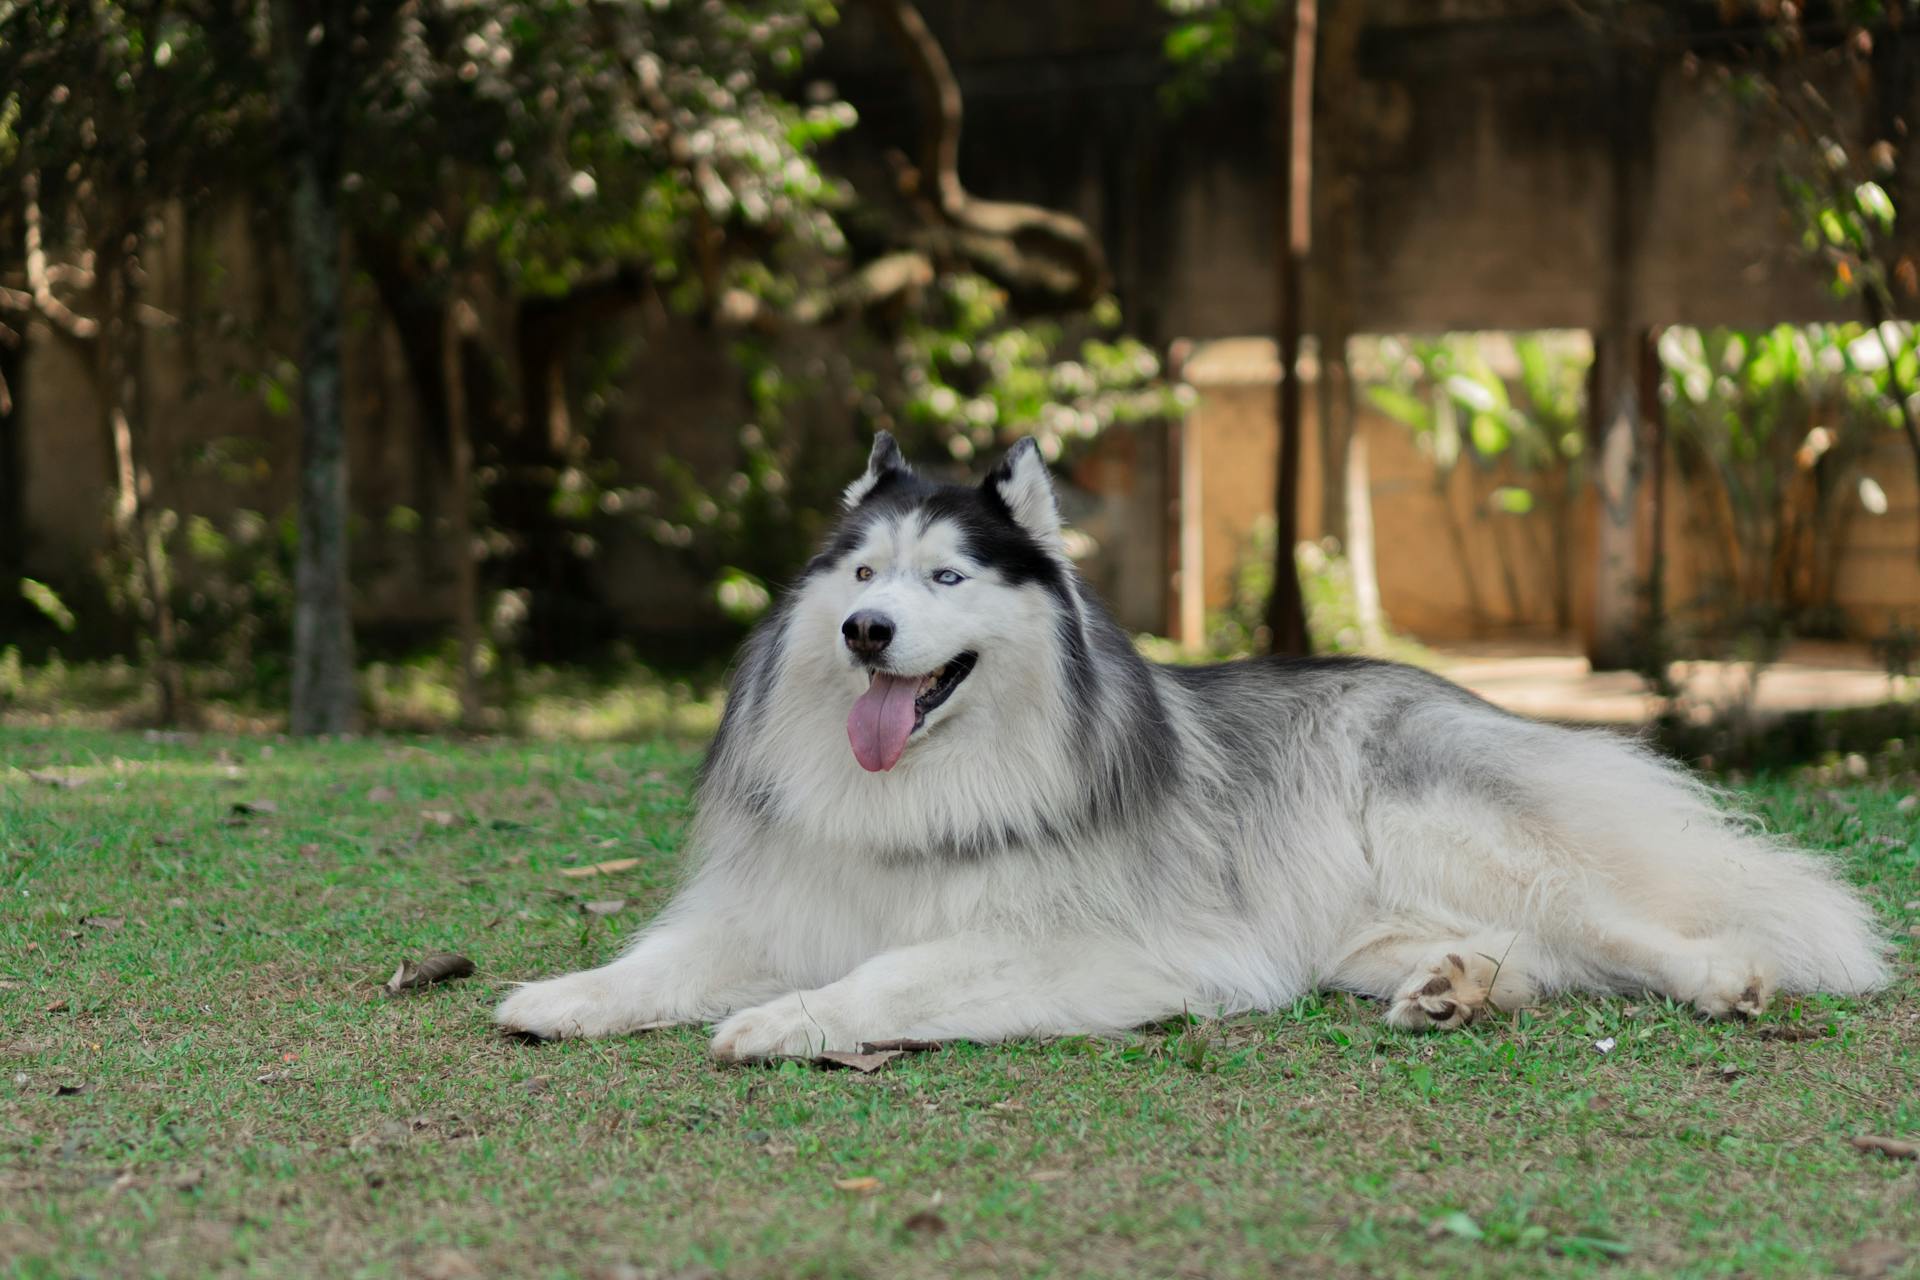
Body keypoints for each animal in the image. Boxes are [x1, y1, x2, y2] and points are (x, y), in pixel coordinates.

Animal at [499, 435, 1889, 1059]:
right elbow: (659, 961)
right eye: (857, 573)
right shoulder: (784, 904)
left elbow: (888, 978)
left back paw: (1718, 972)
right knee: (1536, 951)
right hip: (1358, 924)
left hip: (1457, 827)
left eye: (945, 575)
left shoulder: (1088, 949)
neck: (926, 783)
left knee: (1613, 921)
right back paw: (1456, 984)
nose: (865, 630)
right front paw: (564, 996)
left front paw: (784, 1020)